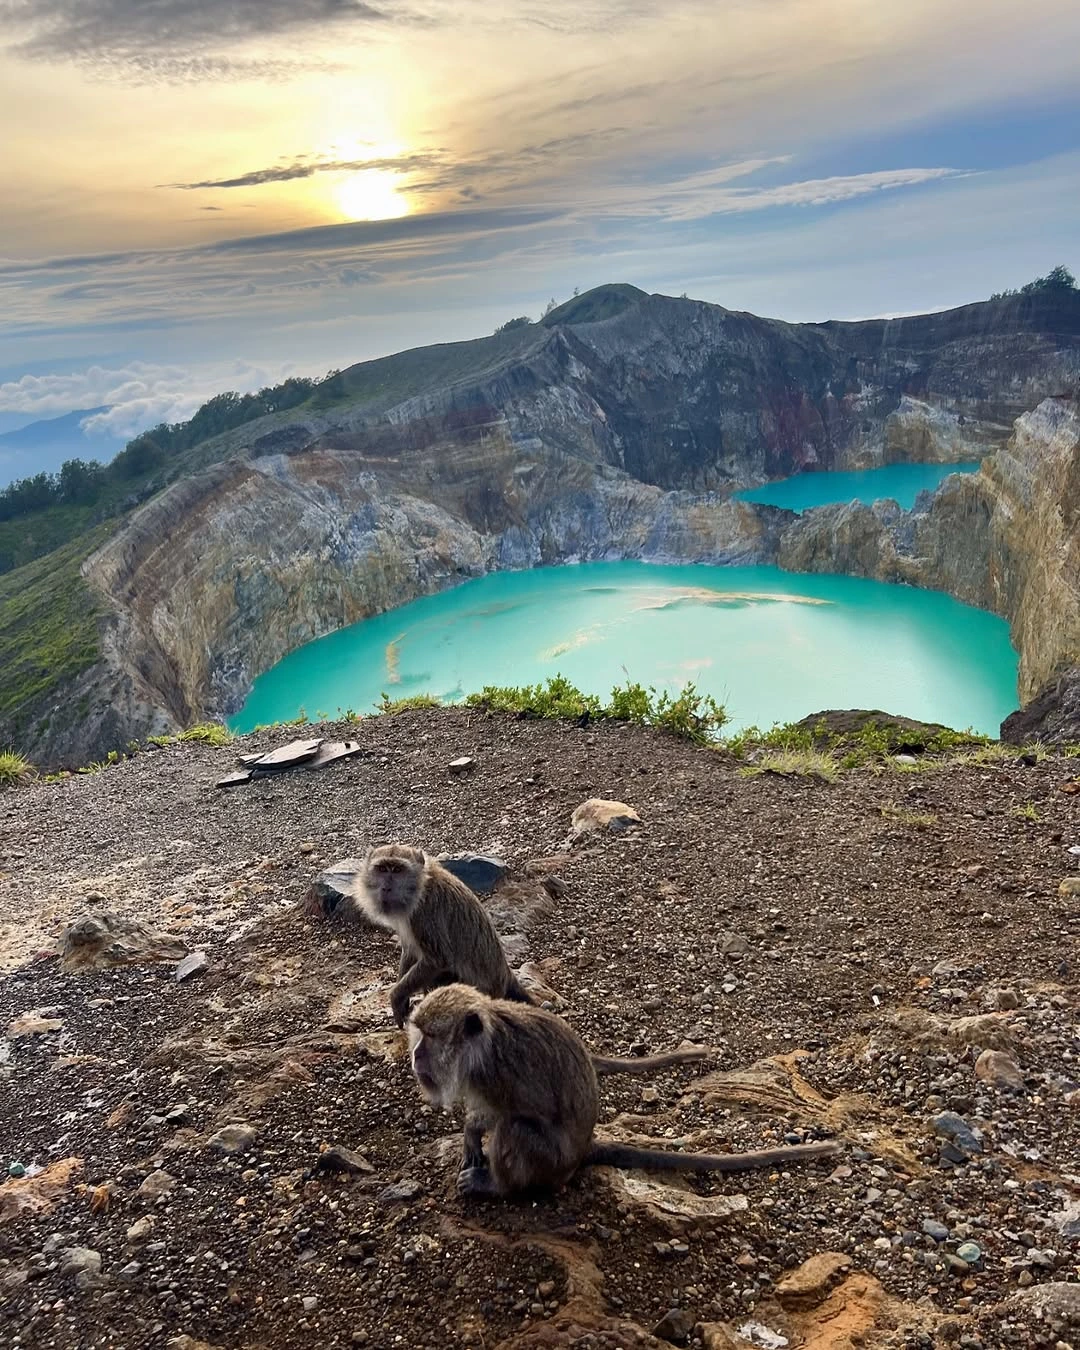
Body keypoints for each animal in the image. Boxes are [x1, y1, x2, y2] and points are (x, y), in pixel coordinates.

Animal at [356, 842, 537, 1020]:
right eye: (382, 869)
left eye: (398, 870)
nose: (386, 888)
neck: (420, 885)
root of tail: (505, 974)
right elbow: (409, 950)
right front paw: (402, 999)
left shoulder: (425, 911)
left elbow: (437, 959)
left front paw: (396, 996)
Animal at [410, 988, 837, 1198]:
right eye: (419, 1032)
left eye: (430, 1036)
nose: (415, 1054)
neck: (480, 1043)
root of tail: (583, 1150)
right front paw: (469, 1136)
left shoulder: (494, 1073)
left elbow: (515, 1111)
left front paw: (473, 1132)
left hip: (551, 1162)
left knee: (517, 1128)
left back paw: (498, 1188)